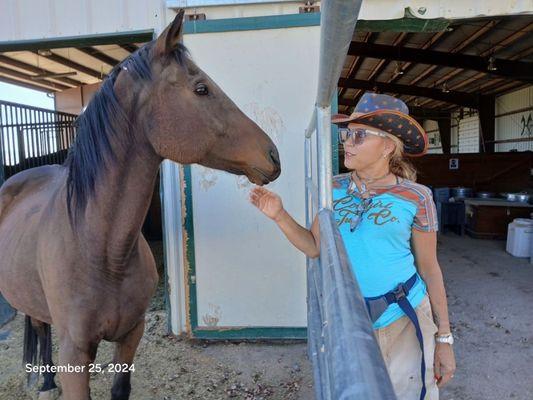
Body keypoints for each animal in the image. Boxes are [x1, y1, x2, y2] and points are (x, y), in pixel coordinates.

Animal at [0, 10, 280, 400]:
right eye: (201, 88)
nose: (273, 155)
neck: (102, 253)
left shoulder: (132, 334)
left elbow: (121, 388)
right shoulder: (75, 352)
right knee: (39, 324)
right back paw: (44, 381)